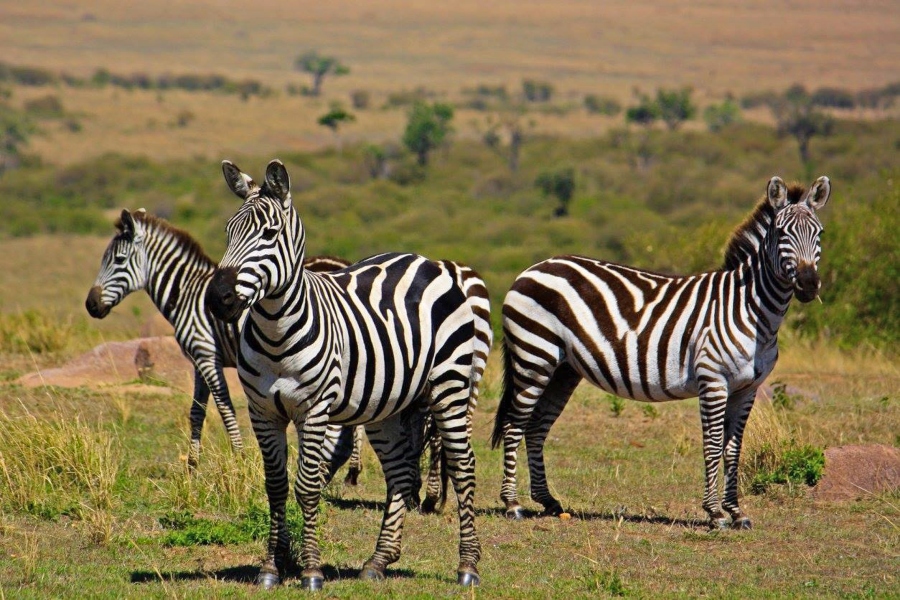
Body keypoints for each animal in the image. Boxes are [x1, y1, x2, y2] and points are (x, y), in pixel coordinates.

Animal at [83, 211, 358, 474]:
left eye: (118, 260)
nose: (91, 305)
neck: (186, 293)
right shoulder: (198, 360)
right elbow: (197, 411)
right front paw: (192, 465)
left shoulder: (206, 355)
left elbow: (225, 408)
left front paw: (239, 459)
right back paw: (351, 470)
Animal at [207, 159, 482, 592]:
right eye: (227, 232)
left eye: (269, 234)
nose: (219, 299)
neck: (275, 332)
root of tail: (425, 260)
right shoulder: (262, 412)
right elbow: (275, 486)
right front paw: (272, 568)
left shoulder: (314, 409)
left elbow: (306, 487)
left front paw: (310, 572)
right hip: (388, 405)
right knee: (400, 473)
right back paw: (378, 561)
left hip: (450, 386)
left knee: (463, 465)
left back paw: (468, 567)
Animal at [492, 176, 828, 528]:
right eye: (782, 233)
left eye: (819, 233)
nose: (808, 285)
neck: (752, 310)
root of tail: (533, 268)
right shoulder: (713, 380)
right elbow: (712, 446)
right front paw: (714, 513)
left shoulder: (748, 388)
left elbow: (733, 449)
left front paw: (736, 512)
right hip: (533, 357)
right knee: (514, 425)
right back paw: (512, 504)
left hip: (563, 370)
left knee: (536, 427)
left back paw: (548, 501)